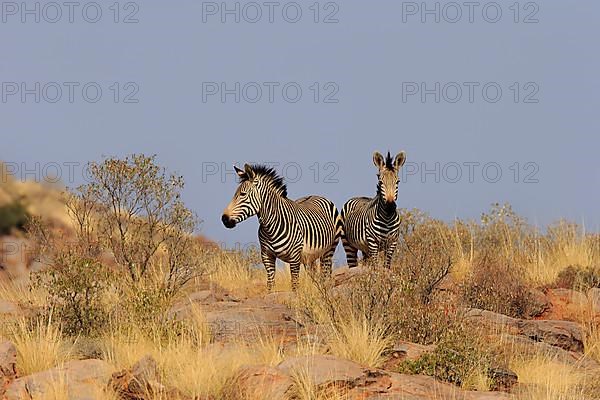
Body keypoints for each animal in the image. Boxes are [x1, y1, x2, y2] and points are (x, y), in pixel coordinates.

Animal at [220, 162, 342, 290]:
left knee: (325, 274)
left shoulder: (294, 257)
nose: (224, 219)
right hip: (310, 257)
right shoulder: (267, 256)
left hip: (329, 250)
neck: (270, 227)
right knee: (315, 276)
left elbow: (294, 284)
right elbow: (270, 284)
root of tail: (316, 195)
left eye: (243, 194)